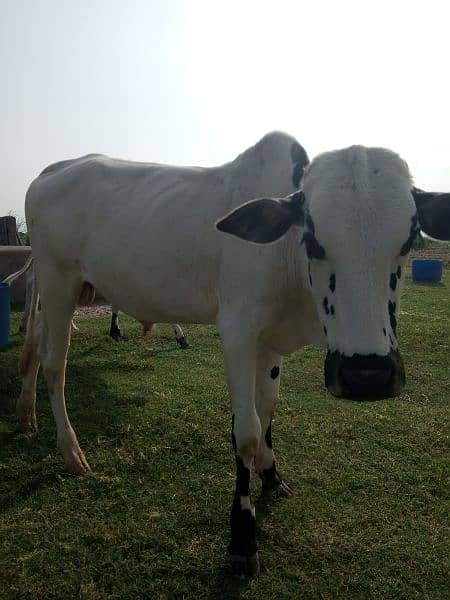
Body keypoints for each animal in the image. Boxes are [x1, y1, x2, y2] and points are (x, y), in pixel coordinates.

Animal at [15, 136, 448, 576]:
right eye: (312, 239)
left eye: (408, 240)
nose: (367, 376)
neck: (284, 259)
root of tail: (53, 170)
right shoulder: (238, 332)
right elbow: (247, 433)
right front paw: (243, 536)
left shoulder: (269, 344)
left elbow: (268, 409)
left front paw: (271, 476)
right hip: (57, 283)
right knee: (54, 364)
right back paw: (71, 451)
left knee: (34, 349)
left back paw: (26, 414)